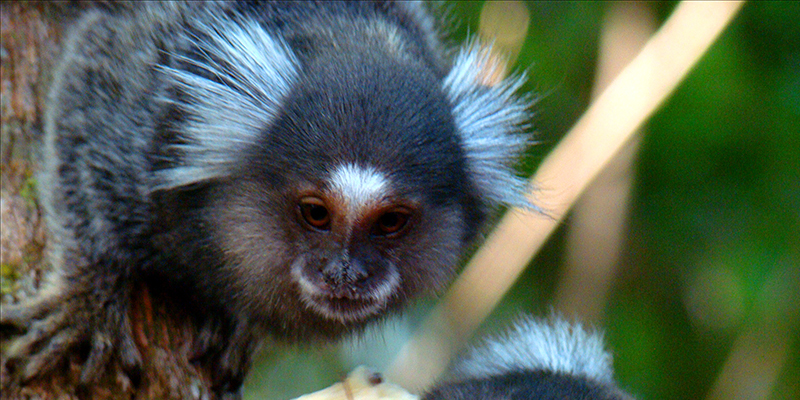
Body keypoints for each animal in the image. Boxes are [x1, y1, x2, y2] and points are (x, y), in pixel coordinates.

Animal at [3, 0, 536, 396]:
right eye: (315, 213)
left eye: (391, 221)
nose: (345, 274)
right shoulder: (150, 109)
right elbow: (85, 99)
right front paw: (88, 296)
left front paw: (243, 325)